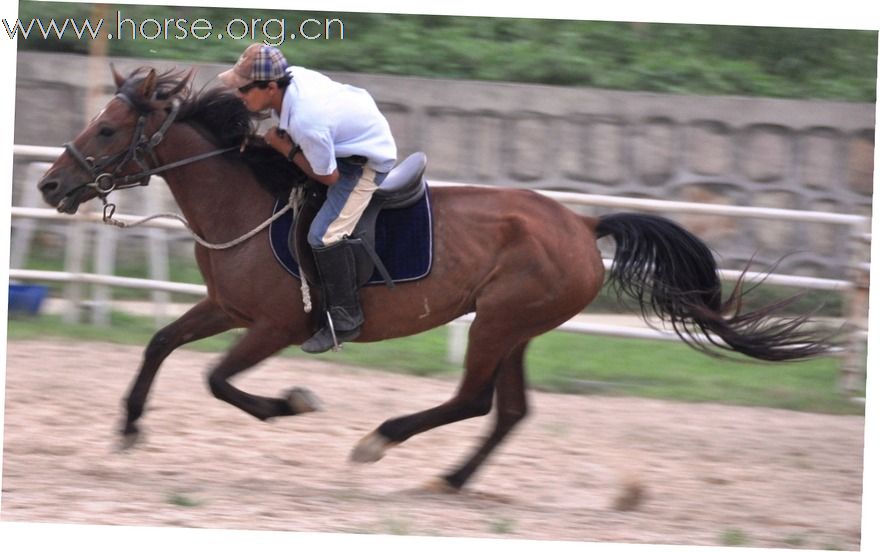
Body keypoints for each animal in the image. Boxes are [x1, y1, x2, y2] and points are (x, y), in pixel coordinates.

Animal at [36, 67, 832, 490]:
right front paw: (129, 427)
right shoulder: (225, 309)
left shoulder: (275, 325)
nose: (48, 185)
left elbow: (217, 380)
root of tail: (582, 225)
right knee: (507, 411)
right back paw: (451, 479)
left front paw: (290, 403)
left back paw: (381, 440)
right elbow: (160, 345)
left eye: (108, 130)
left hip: (499, 321)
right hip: (514, 328)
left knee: (473, 400)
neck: (249, 205)